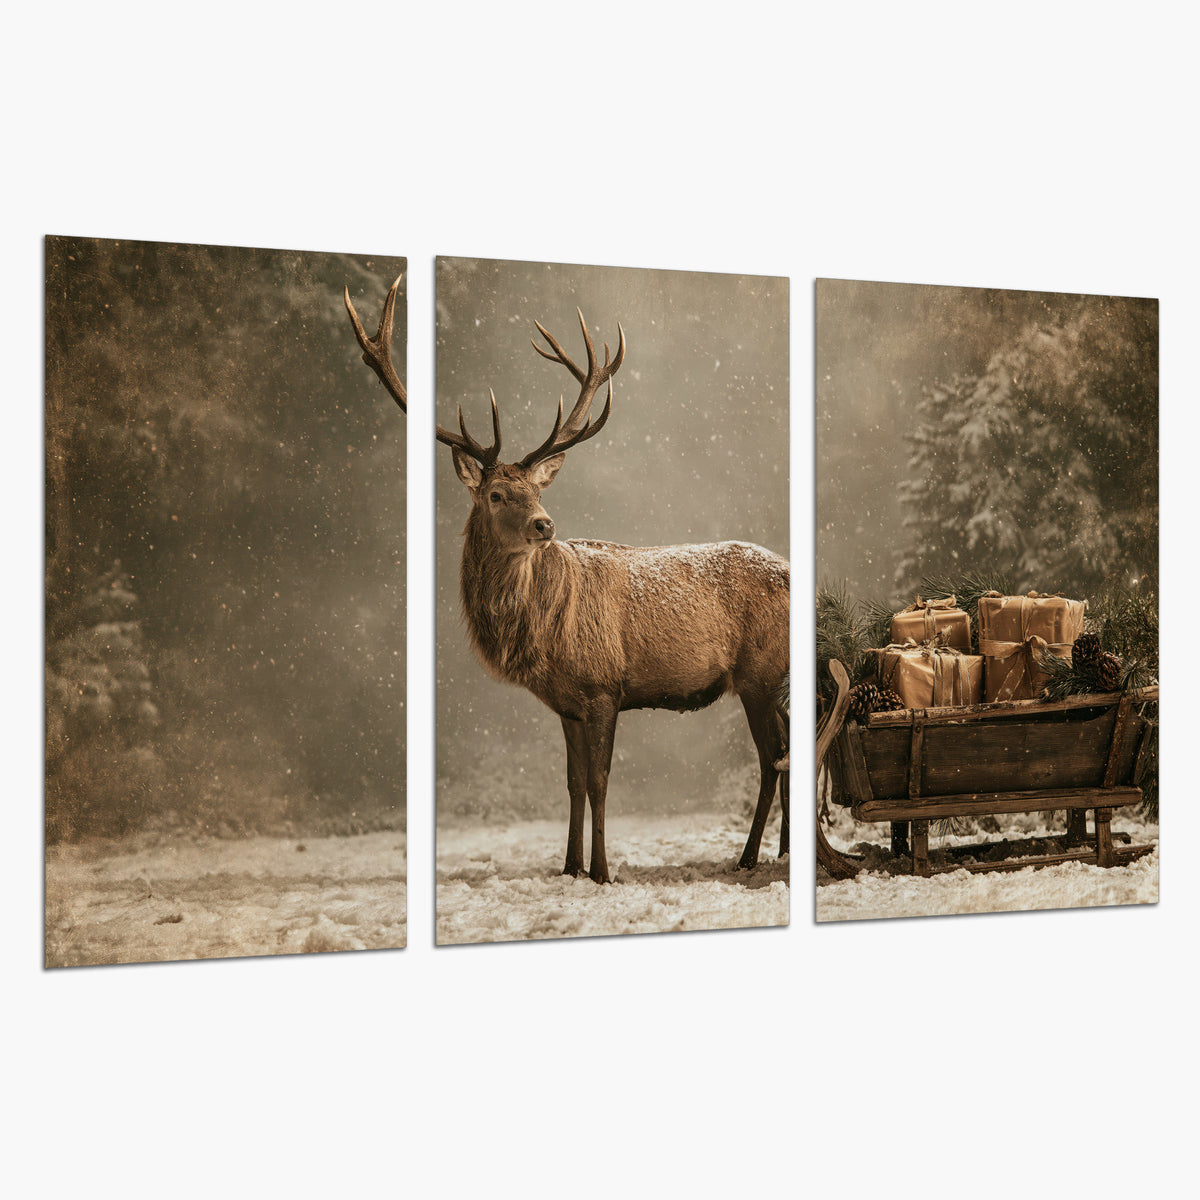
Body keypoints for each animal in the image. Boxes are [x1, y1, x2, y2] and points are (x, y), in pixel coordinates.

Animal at [345, 281, 789, 885]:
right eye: (496, 494)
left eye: (537, 489)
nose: (544, 524)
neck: (541, 636)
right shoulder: (567, 703)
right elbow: (574, 785)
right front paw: (569, 867)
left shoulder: (604, 687)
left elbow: (600, 783)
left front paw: (602, 871)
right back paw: (783, 852)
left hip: (759, 673)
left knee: (772, 759)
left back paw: (748, 856)